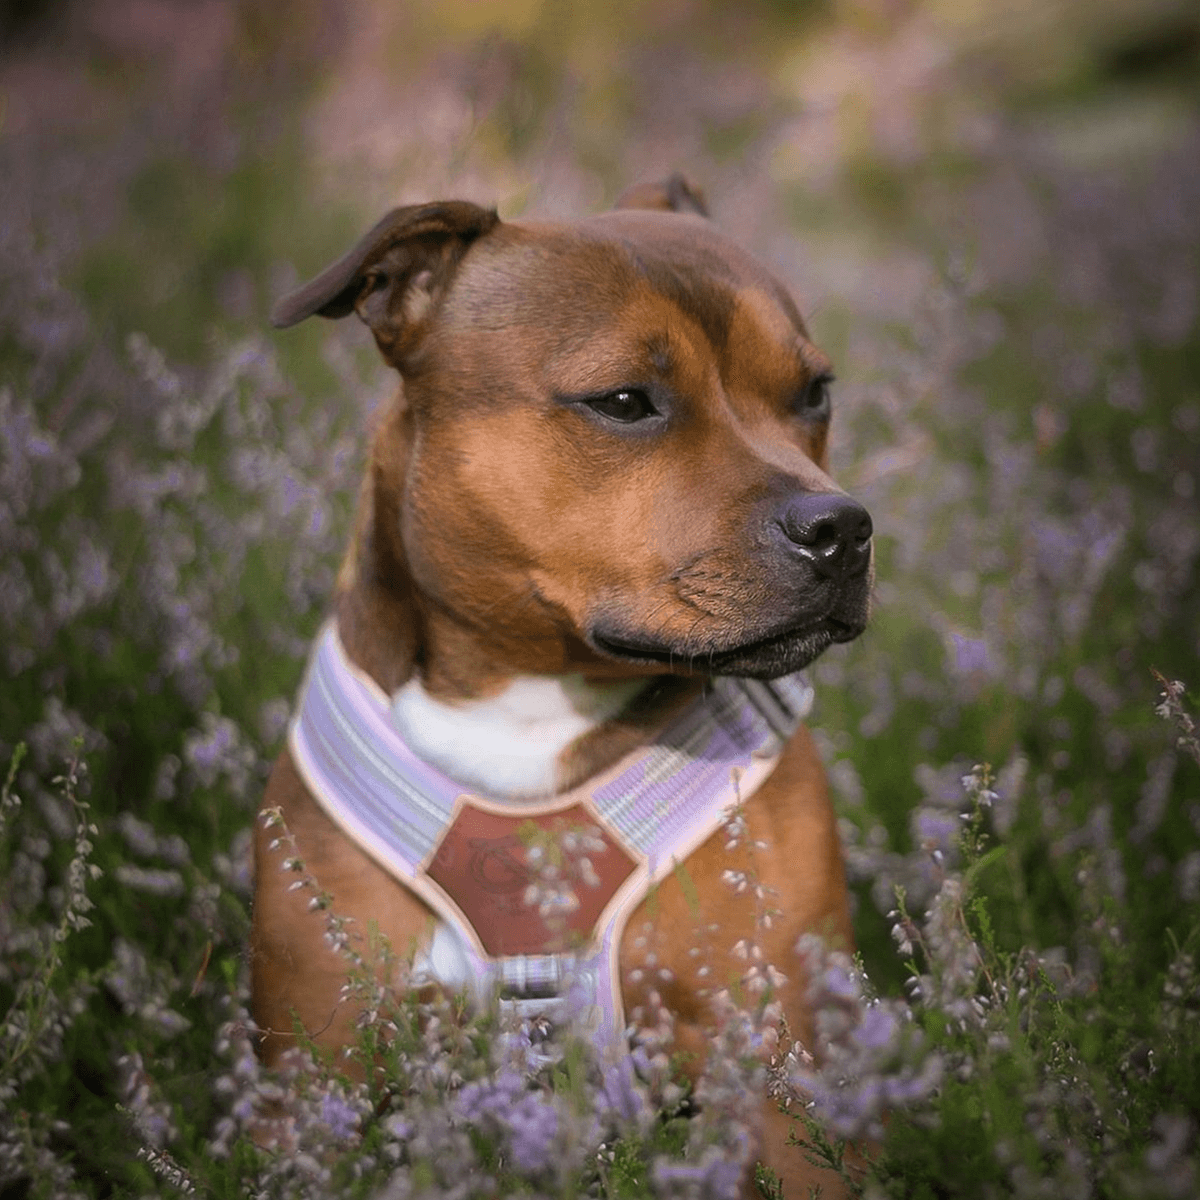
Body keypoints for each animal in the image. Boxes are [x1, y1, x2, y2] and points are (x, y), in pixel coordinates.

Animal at [253, 174, 873, 1195]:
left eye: (814, 392)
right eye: (624, 401)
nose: (843, 529)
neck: (531, 698)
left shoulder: (782, 1053)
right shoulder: (315, 1076)